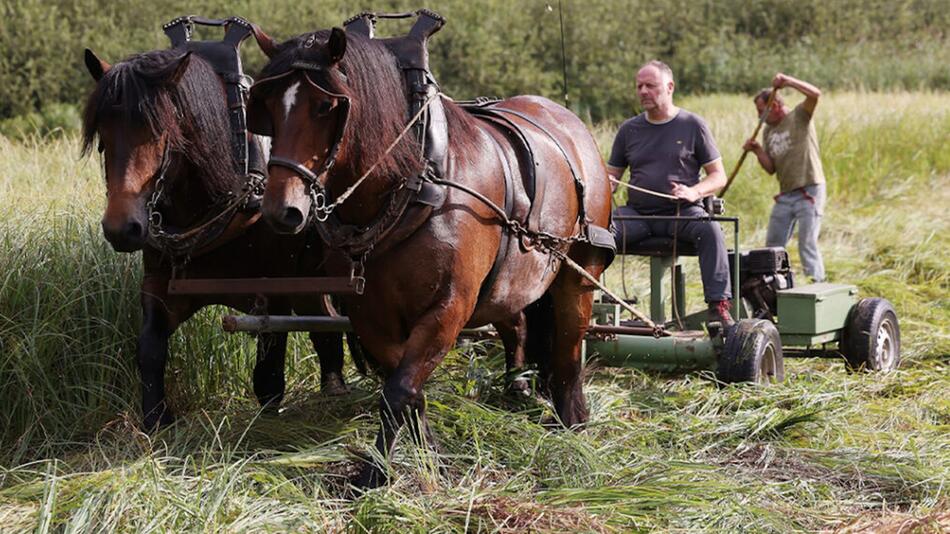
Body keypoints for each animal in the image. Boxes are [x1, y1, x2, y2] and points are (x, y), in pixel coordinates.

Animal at [81, 46, 356, 432]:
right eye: (102, 136)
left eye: (159, 131)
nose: (122, 228)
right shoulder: (160, 282)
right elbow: (149, 348)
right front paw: (156, 419)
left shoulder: (277, 285)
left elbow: (270, 365)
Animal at [249, 28, 612, 490]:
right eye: (268, 106)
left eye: (325, 106)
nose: (283, 210)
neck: (415, 184)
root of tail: (570, 123)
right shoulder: (370, 317)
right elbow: (405, 388)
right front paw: (431, 458)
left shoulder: (448, 307)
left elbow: (398, 391)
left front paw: (375, 474)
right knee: (517, 323)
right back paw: (518, 389)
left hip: (578, 270)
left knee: (568, 343)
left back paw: (571, 422)